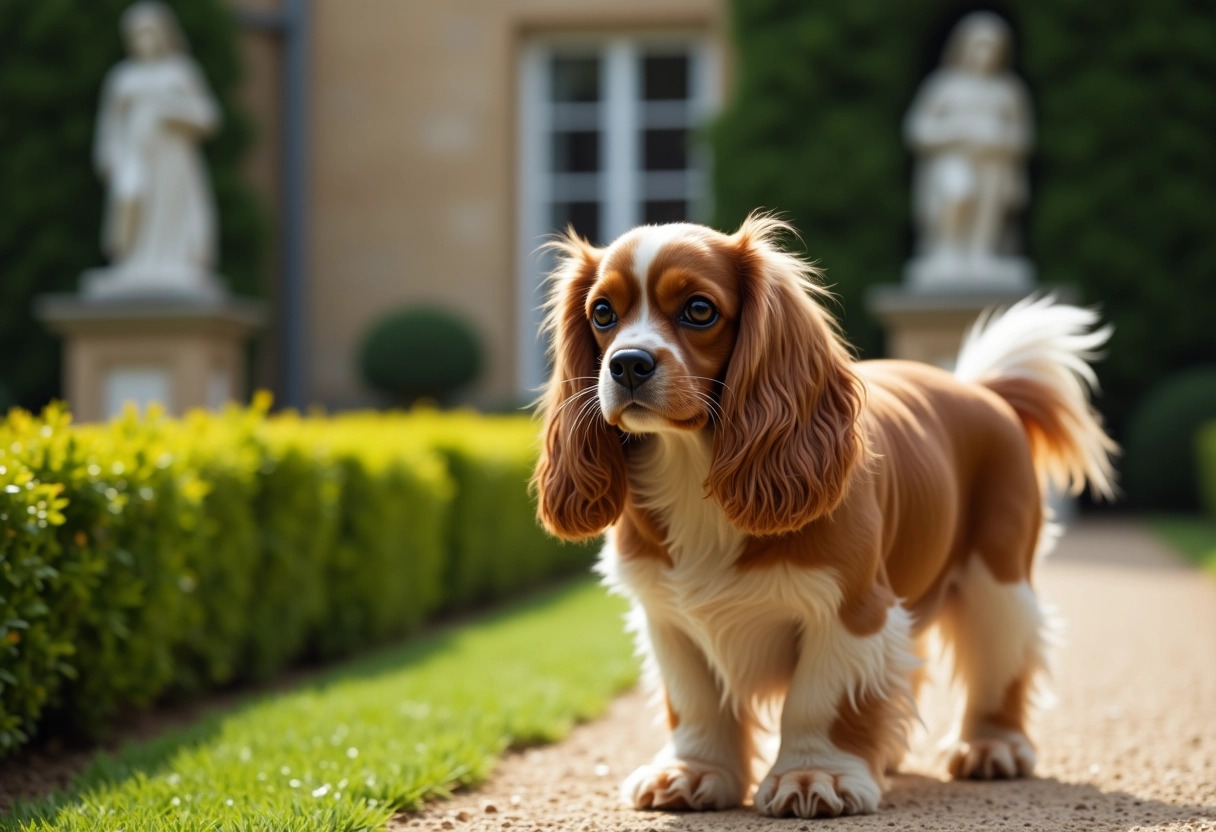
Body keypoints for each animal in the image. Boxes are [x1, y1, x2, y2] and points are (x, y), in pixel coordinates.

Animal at [530, 214, 1113, 817]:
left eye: (699, 309)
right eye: (603, 313)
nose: (627, 364)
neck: (693, 468)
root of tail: (979, 388)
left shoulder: (849, 609)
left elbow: (819, 700)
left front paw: (814, 776)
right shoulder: (667, 616)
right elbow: (695, 702)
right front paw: (693, 772)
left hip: (995, 583)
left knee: (1002, 659)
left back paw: (991, 747)